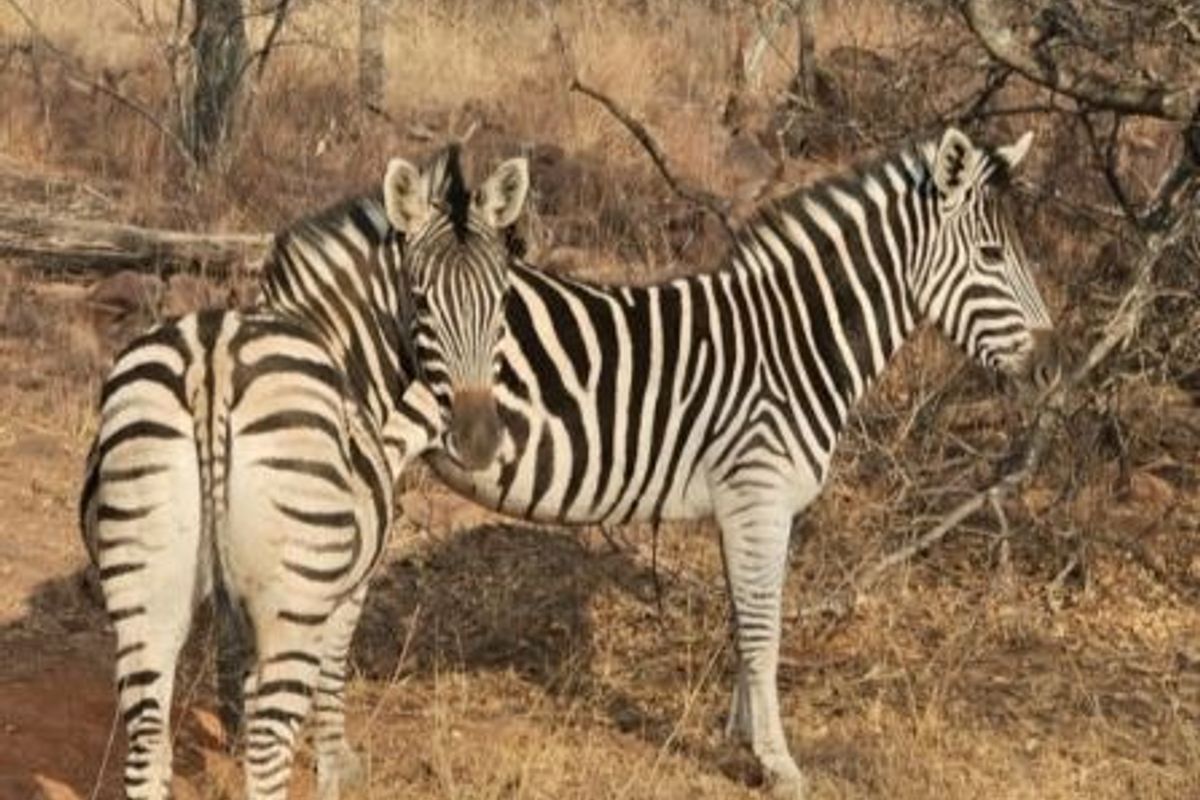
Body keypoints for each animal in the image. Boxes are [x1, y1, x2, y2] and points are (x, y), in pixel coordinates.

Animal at [79, 146, 529, 800]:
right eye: (420, 300)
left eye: (499, 301)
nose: (477, 440)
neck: (339, 340)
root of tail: (211, 359)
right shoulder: (346, 589)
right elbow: (332, 679)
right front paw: (334, 766)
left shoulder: (236, 597)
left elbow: (238, 671)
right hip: (296, 591)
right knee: (269, 751)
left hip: (144, 581)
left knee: (147, 747)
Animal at [246, 127, 1059, 798]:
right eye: (993, 257)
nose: (1052, 365)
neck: (793, 343)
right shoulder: (759, 492)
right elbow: (765, 629)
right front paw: (778, 763)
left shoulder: (743, 505)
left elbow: (742, 618)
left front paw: (739, 737)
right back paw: (324, 758)